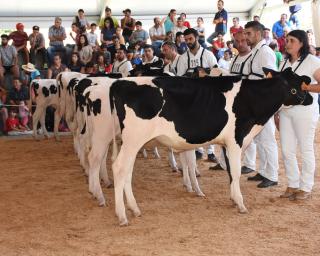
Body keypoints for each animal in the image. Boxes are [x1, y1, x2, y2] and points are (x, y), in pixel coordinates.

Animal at [109, 68, 312, 226]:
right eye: (299, 85)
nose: (310, 98)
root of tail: (120, 84)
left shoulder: (226, 143)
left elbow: (230, 172)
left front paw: (233, 200)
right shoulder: (236, 139)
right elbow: (236, 172)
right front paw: (241, 204)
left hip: (132, 143)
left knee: (127, 170)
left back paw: (134, 209)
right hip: (133, 139)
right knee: (119, 168)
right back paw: (122, 216)